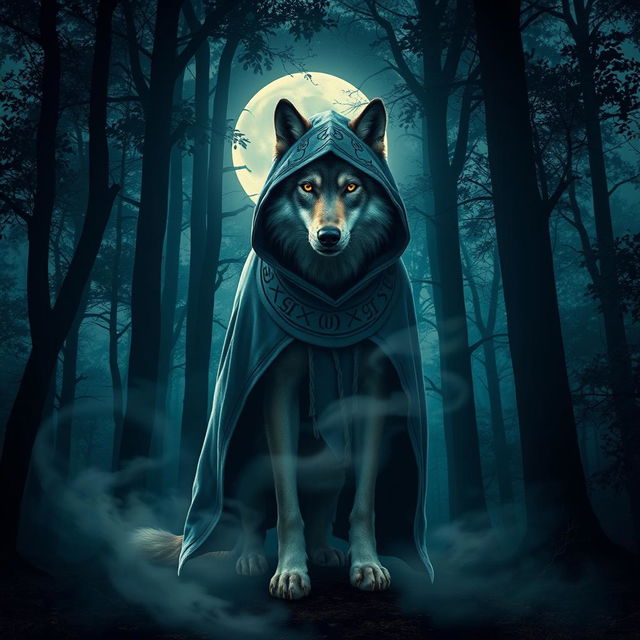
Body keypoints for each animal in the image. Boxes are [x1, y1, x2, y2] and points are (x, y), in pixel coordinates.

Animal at [133, 98, 433, 600]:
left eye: (351, 186)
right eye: (307, 187)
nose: (328, 237)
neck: (331, 298)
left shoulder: (375, 394)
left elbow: (363, 503)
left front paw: (367, 565)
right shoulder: (278, 389)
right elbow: (286, 502)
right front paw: (291, 573)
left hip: (333, 461)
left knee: (323, 513)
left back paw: (327, 552)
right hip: (248, 456)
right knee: (255, 518)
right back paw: (252, 558)